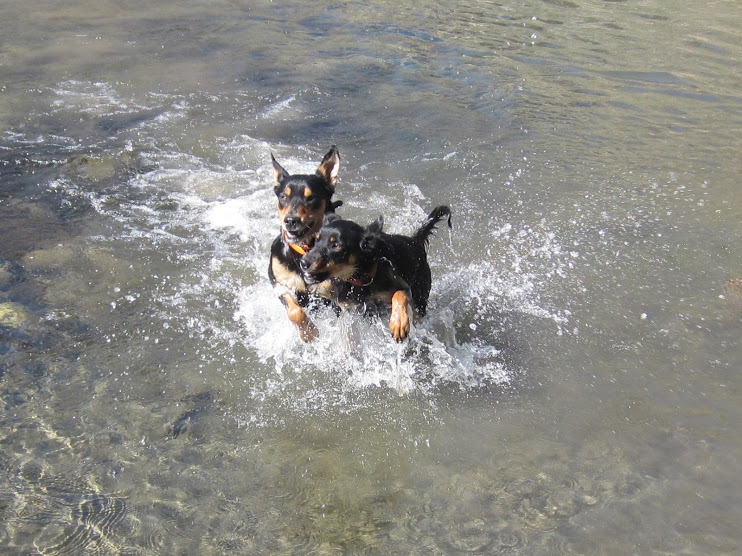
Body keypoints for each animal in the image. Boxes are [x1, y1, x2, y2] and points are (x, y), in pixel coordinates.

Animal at [268, 146, 344, 340]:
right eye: (283, 197)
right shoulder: (278, 281)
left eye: (311, 198)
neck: (304, 249)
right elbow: (294, 310)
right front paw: (309, 333)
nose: (290, 220)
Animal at [298, 206, 450, 340]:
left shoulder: (403, 287)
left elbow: (399, 294)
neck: (361, 278)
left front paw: (399, 324)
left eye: (336, 245)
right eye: (317, 240)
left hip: (420, 298)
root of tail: (415, 240)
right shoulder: (347, 308)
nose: (303, 262)